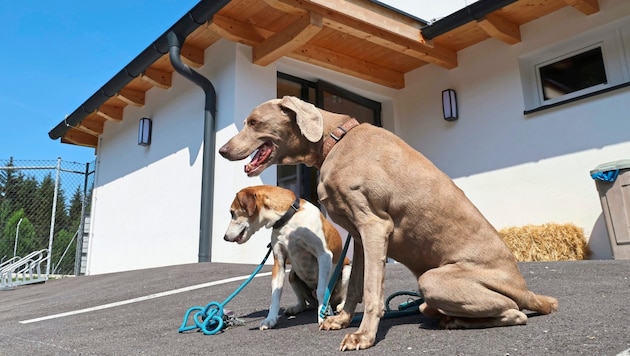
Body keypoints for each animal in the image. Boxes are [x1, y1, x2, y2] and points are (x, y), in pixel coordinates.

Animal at [223, 185, 354, 330]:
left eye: (232, 213)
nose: (225, 237)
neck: (288, 219)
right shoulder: (279, 262)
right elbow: (275, 294)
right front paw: (270, 319)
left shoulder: (324, 256)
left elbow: (322, 290)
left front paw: (323, 316)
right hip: (292, 275)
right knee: (305, 303)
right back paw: (296, 308)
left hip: (347, 270)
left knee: (341, 296)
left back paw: (340, 306)